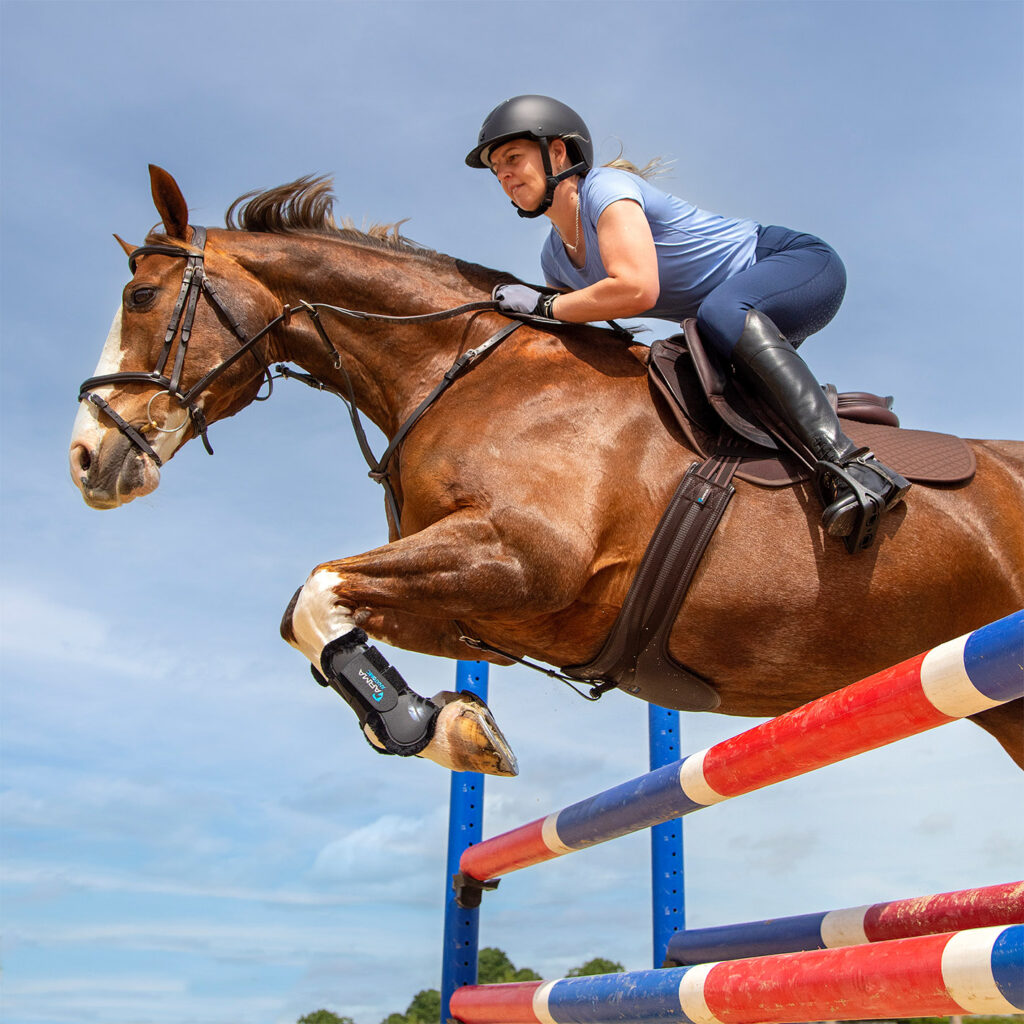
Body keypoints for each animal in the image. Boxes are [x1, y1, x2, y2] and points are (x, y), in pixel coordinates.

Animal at [69, 166, 1024, 774]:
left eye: (142, 298)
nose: (85, 459)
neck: (461, 370)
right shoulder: (482, 609)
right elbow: (315, 610)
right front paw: (444, 725)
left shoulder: (524, 556)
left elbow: (315, 588)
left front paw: (427, 726)